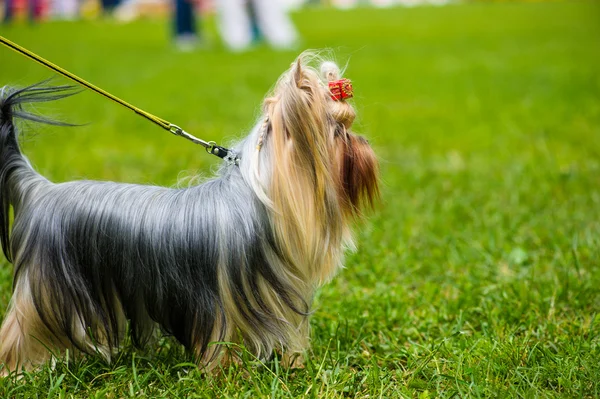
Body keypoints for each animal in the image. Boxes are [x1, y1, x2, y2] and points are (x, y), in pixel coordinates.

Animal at [0, 54, 378, 376]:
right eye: (338, 131)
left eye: (348, 125)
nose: (363, 143)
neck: (264, 197)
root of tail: (40, 190)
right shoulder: (224, 302)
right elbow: (222, 342)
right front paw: (227, 375)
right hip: (44, 289)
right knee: (19, 329)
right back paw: (15, 372)